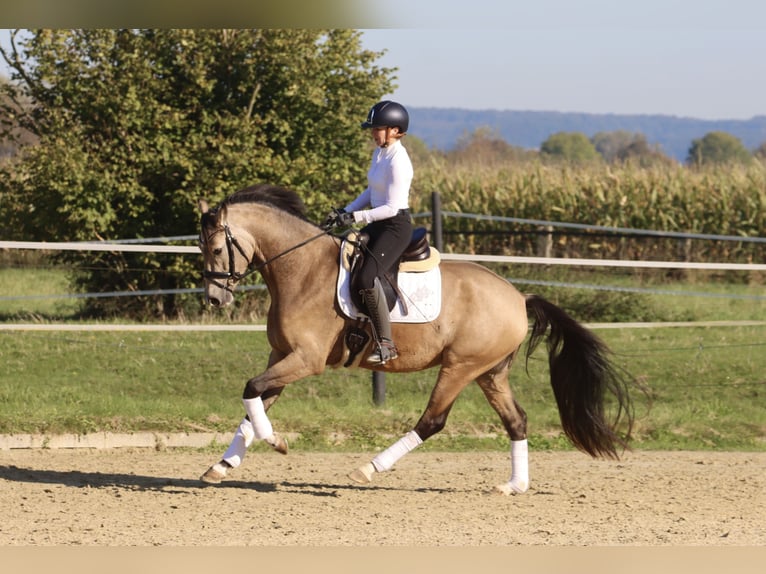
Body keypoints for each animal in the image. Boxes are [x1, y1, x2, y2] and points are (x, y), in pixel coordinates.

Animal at [198, 183, 636, 496]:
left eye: (217, 248)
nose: (215, 299)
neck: (301, 270)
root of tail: (518, 297)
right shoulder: (281, 355)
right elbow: (254, 402)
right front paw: (222, 465)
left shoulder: (306, 359)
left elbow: (252, 390)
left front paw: (277, 442)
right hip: (490, 372)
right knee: (516, 420)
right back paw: (515, 485)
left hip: (460, 367)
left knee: (432, 421)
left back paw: (369, 469)